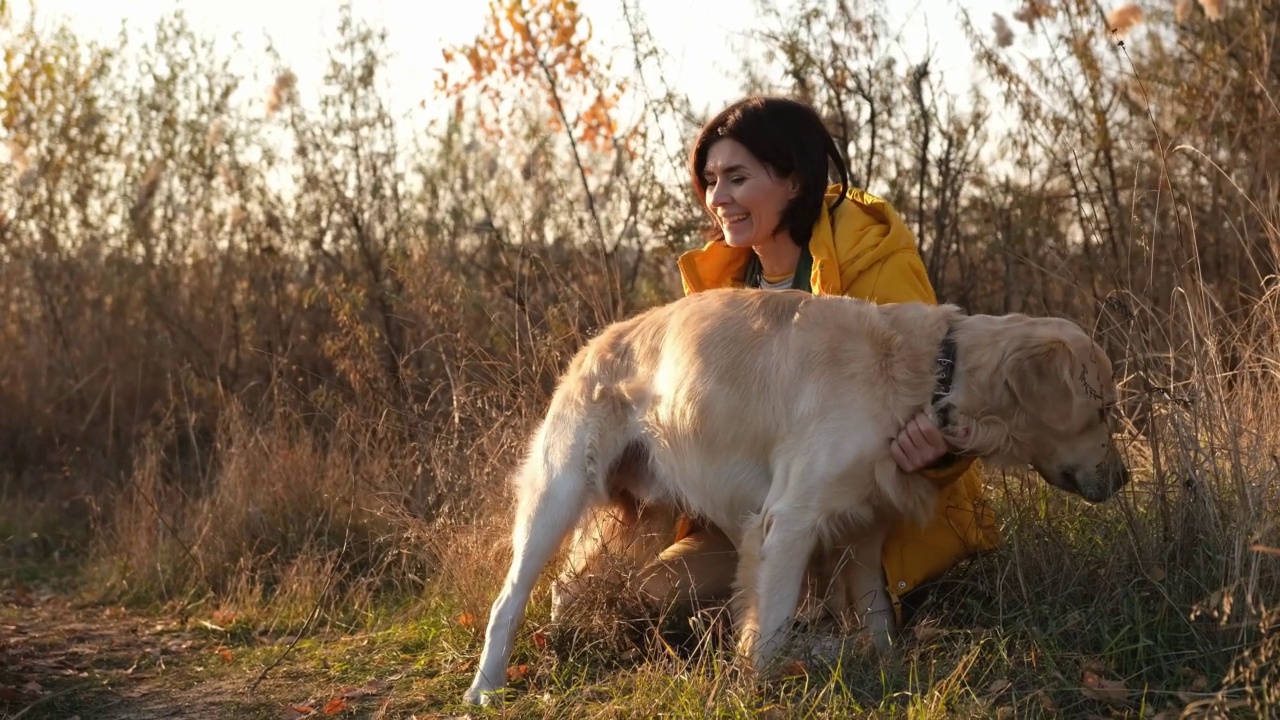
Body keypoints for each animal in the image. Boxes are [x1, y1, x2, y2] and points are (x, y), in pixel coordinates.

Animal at [463, 284, 1131, 702]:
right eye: (1101, 408)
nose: (1124, 479)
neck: (932, 376)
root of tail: (595, 343)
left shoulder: (864, 526)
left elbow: (877, 618)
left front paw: (883, 668)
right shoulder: (789, 519)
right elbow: (772, 627)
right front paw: (754, 690)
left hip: (644, 516)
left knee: (569, 584)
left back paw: (568, 642)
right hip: (558, 493)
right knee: (509, 600)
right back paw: (486, 687)